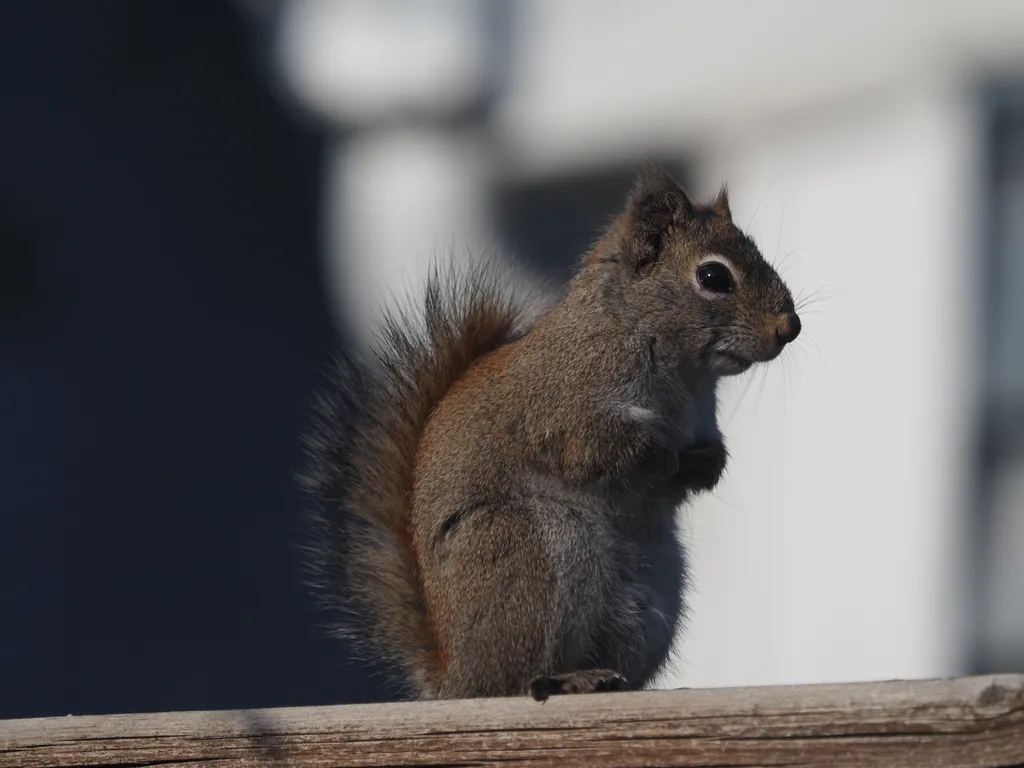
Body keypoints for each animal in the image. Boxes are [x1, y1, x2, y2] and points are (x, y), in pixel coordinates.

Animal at [302, 164, 801, 702]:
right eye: (713, 276)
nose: (789, 327)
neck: (683, 372)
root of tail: (456, 678)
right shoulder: (561, 410)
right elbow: (596, 448)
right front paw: (659, 448)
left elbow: (697, 468)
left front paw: (705, 461)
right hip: (537, 552)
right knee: (514, 680)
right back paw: (565, 678)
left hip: (650, 601)